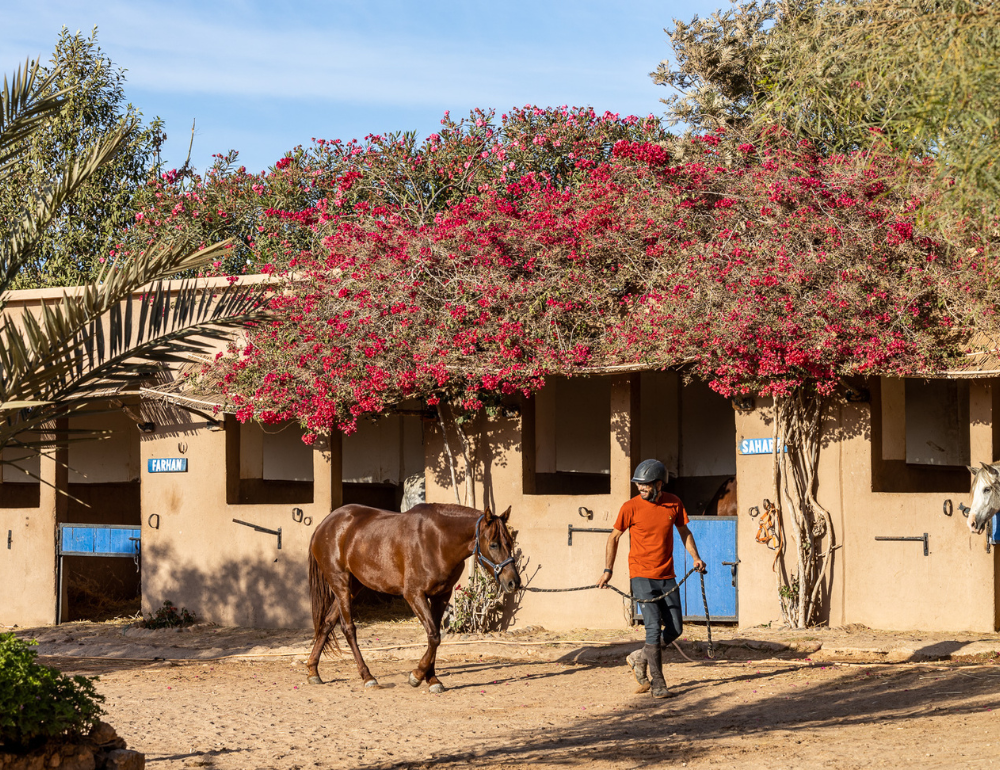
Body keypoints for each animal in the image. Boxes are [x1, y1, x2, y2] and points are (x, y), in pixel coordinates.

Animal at [306, 498, 524, 688]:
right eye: (494, 544)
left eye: (510, 542)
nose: (514, 582)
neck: (437, 541)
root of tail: (325, 524)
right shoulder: (414, 595)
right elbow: (434, 636)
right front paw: (417, 675)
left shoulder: (441, 596)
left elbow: (434, 636)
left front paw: (432, 679)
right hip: (340, 583)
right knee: (348, 628)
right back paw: (368, 676)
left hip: (353, 586)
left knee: (327, 623)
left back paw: (313, 671)